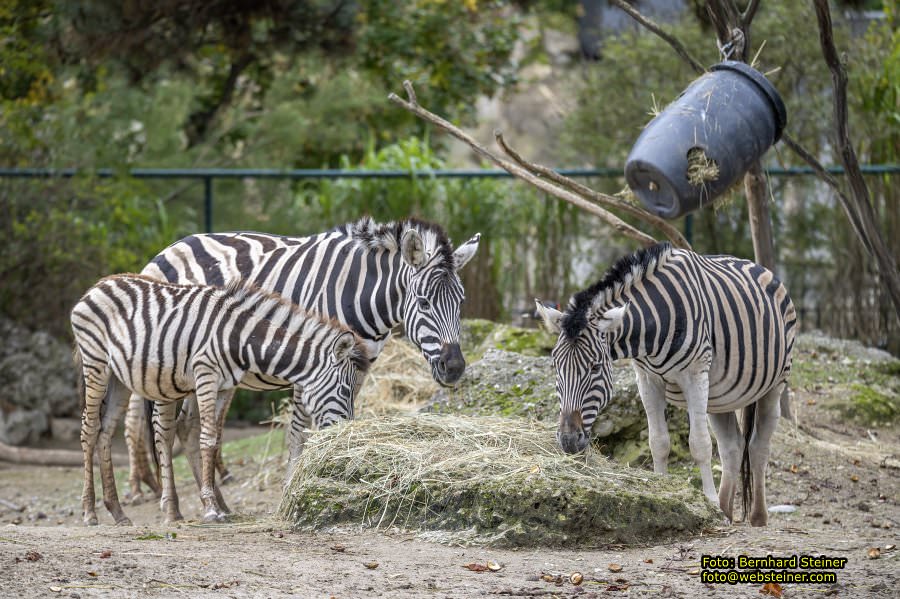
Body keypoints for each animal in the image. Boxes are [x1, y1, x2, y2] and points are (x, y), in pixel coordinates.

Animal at [72, 274, 370, 524]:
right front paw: (211, 509)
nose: (347, 434)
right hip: (96, 364)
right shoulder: (206, 374)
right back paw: (89, 512)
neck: (241, 337)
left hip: (120, 379)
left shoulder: (225, 385)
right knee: (89, 430)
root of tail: (99, 284)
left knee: (106, 432)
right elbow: (208, 439)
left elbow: (211, 439)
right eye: (346, 390)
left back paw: (117, 511)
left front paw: (213, 504)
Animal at [123, 216, 482, 502]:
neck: (360, 294)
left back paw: (216, 504)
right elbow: (299, 430)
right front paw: (293, 487)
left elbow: (342, 419)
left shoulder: (357, 368)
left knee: (187, 424)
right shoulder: (311, 360)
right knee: (159, 425)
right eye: (423, 302)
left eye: (462, 302)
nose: (454, 368)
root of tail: (169, 249)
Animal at [536, 243, 796, 524]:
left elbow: (700, 444)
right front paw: (662, 492)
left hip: (774, 384)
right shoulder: (647, 380)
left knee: (758, 446)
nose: (568, 441)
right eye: (555, 367)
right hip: (720, 395)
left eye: (595, 367)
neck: (650, 331)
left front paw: (708, 502)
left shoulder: (695, 375)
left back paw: (757, 517)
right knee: (732, 446)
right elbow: (658, 442)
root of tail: (754, 264)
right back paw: (725, 511)